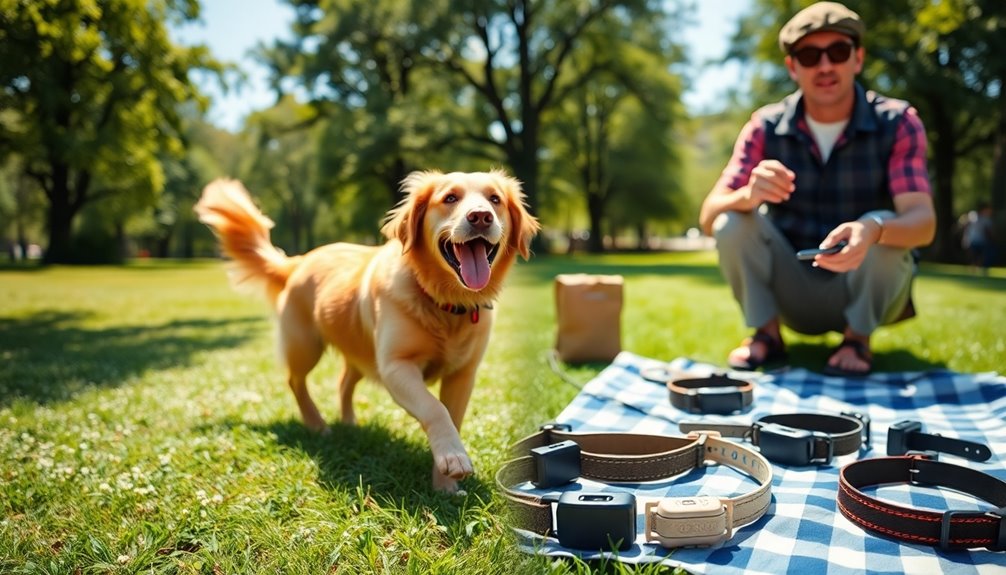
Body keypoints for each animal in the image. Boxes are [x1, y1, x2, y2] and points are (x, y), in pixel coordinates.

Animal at [193, 168, 539, 492]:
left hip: (358, 353)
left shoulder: (462, 375)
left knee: (343, 382)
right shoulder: (396, 366)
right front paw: (453, 458)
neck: (444, 302)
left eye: (495, 199)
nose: (481, 216)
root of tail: (298, 261)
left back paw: (349, 424)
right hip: (305, 345)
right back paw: (317, 424)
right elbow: (434, 409)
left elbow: (451, 415)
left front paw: (445, 486)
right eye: (450, 198)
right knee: (295, 381)